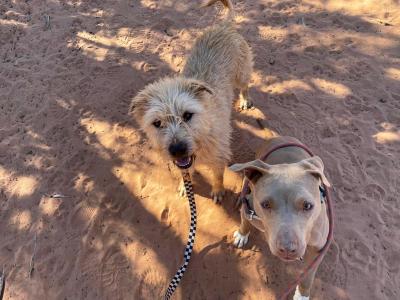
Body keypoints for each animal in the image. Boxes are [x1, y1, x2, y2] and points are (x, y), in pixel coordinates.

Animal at [129, 0, 253, 203]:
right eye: (157, 123)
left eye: (188, 115)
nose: (178, 149)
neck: (204, 132)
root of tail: (223, 26)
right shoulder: (183, 164)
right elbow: (184, 173)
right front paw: (184, 187)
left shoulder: (219, 155)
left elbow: (218, 175)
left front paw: (218, 191)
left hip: (242, 73)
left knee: (245, 86)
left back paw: (245, 99)